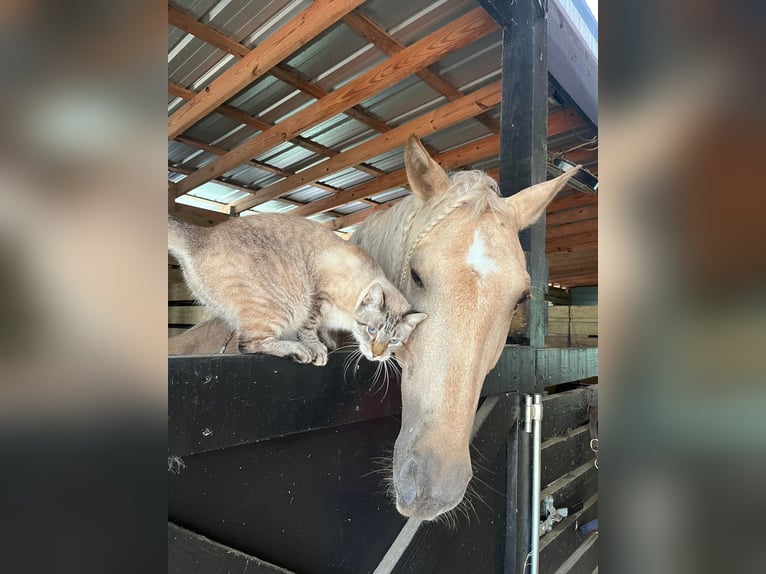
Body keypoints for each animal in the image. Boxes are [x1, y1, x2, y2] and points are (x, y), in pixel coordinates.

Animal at [167, 214, 426, 366]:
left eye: (394, 341)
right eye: (371, 330)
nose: (377, 354)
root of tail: (201, 236)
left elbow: (323, 330)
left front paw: (327, 342)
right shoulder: (317, 297)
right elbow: (310, 328)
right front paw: (318, 348)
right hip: (284, 306)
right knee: (248, 344)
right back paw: (299, 351)